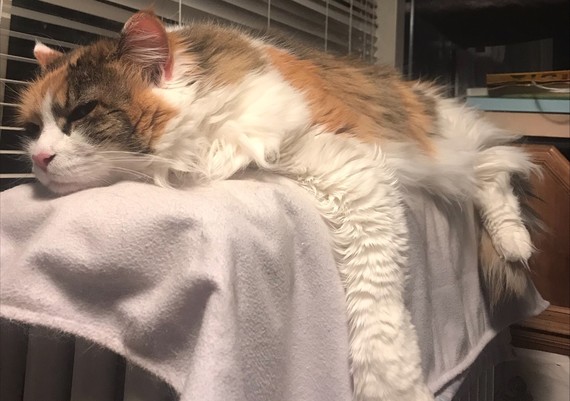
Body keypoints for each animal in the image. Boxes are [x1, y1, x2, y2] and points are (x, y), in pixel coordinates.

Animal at [17, 8, 536, 400]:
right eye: (32, 129)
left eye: (81, 113)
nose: (39, 159)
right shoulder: (335, 170)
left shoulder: (353, 167)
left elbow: (376, 297)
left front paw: (393, 387)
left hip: (448, 149)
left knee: (494, 169)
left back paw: (515, 243)